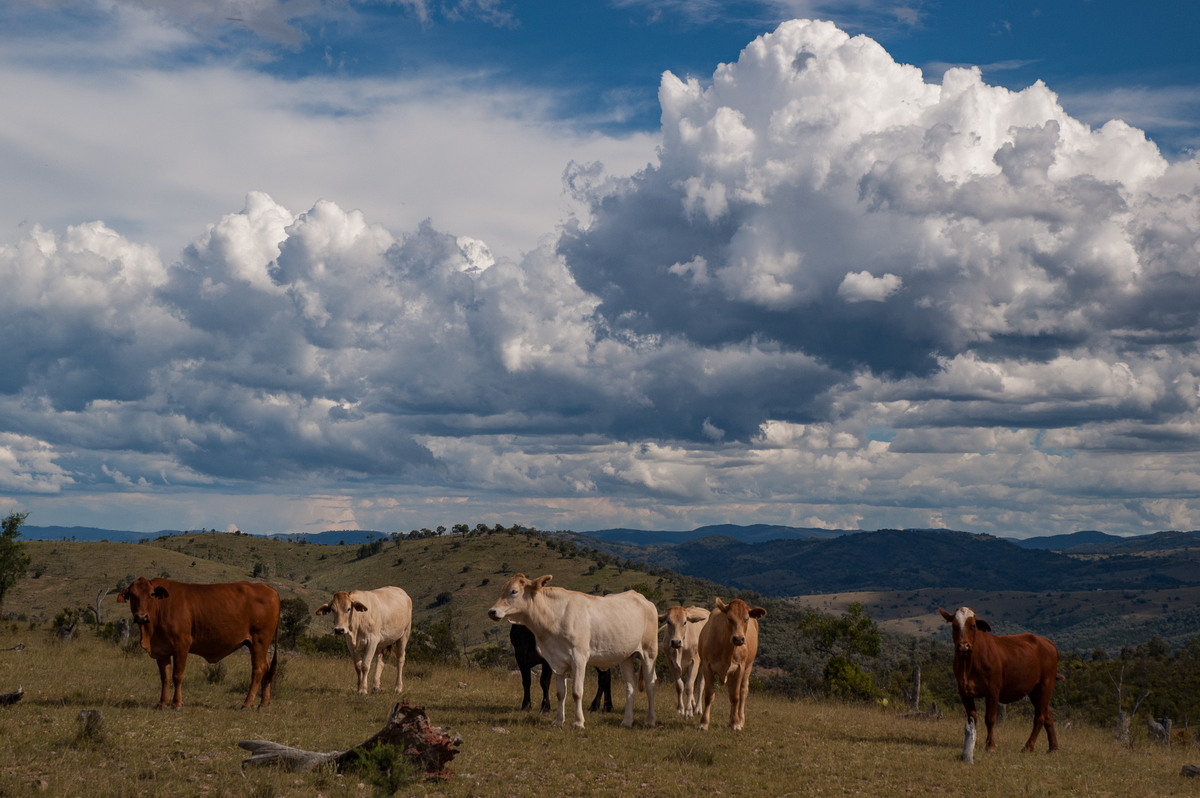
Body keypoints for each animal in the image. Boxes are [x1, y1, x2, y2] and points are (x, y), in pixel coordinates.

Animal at [120, 573, 283, 710]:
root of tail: (268, 588)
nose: (141, 616)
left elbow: (177, 675)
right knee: (266, 668)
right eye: (132, 595)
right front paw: (162, 703)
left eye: (151, 594)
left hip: (259, 641)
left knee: (258, 669)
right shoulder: (161, 650)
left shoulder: (181, 645)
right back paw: (263, 704)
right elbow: (165, 678)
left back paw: (247, 704)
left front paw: (177, 704)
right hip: (260, 645)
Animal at [484, 573, 657, 729]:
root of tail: (642, 598)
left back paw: (650, 720)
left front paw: (578, 722)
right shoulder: (555, 661)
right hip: (626, 657)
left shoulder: (578, 658)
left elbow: (576, 691)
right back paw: (627, 721)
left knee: (650, 684)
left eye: (514, 591)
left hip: (649, 652)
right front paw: (558, 721)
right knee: (630, 687)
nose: (492, 611)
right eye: (502, 589)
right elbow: (560, 693)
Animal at [696, 597, 768, 729]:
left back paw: (740, 719)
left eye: (746, 619)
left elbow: (735, 697)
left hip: (748, 666)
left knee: (743, 691)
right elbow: (709, 695)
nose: (738, 639)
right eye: (729, 618)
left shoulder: (739, 668)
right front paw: (704, 723)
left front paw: (736, 723)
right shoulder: (707, 666)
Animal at [936, 607, 1060, 748]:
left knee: (1040, 716)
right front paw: (972, 741)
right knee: (1047, 714)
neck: (968, 664)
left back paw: (1028, 746)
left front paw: (990, 745)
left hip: (1045, 684)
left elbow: (990, 719)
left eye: (973, 626)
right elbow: (972, 717)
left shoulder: (993, 690)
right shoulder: (963, 691)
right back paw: (1053, 748)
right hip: (1034, 690)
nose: (963, 646)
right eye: (954, 625)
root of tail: (1047, 642)